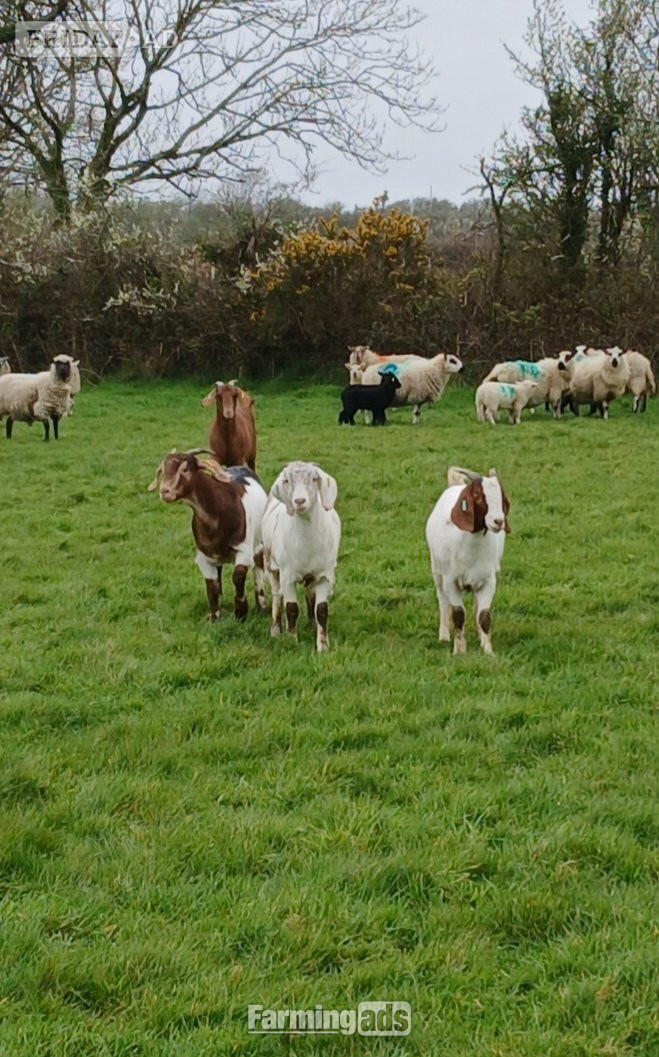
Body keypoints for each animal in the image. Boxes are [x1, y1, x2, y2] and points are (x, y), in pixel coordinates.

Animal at [425, 466, 510, 655]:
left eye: (501, 496)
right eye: (477, 496)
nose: (498, 521)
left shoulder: (489, 581)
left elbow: (484, 615)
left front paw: (488, 650)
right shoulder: (450, 581)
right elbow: (458, 614)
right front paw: (459, 650)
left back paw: (479, 636)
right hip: (437, 570)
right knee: (442, 600)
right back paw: (443, 636)